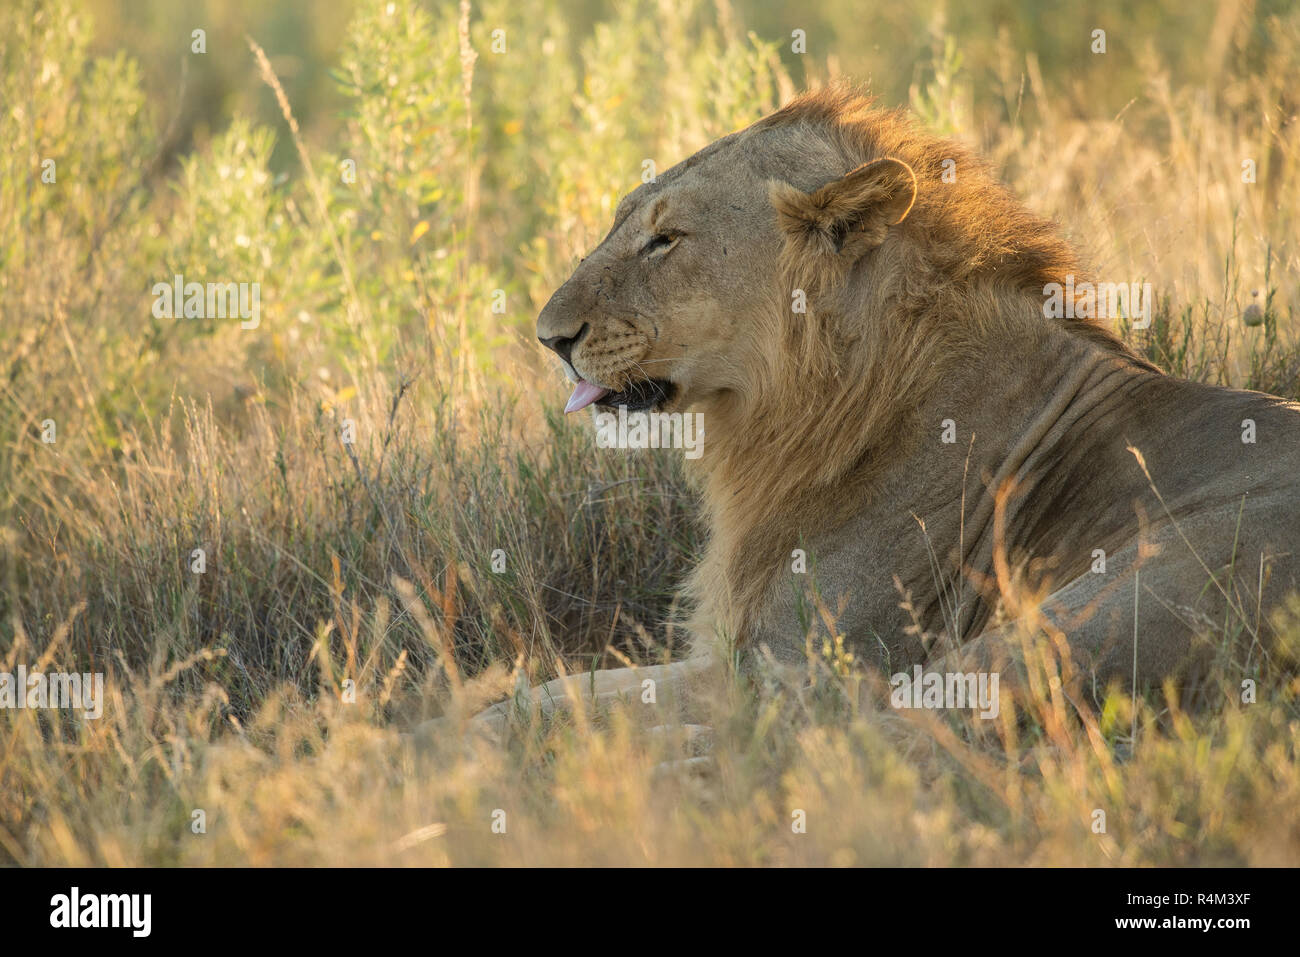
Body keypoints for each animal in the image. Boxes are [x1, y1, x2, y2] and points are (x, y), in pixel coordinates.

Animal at [460, 87, 1300, 733]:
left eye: (666, 239)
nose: (549, 336)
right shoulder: (733, 651)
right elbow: (567, 686)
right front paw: (461, 723)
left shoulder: (792, 661)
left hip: (1083, 613)